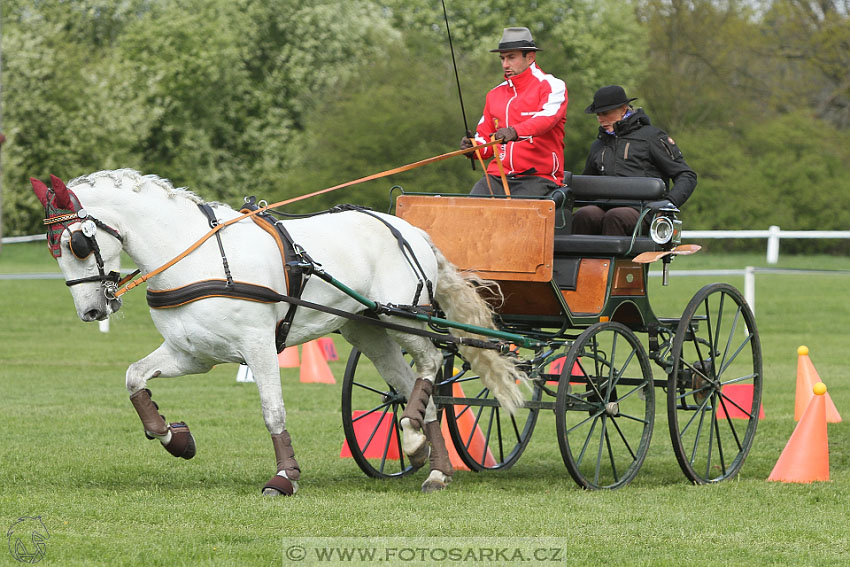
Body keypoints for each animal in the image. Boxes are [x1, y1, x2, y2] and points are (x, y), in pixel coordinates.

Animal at [31, 170, 524, 496]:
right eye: (52, 248)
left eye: (77, 243)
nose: (92, 310)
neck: (199, 257)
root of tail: (411, 229)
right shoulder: (192, 354)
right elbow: (134, 377)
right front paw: (176, 439)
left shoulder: (259, 348)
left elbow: (273, 412)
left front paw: (284, 476)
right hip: (367, 330)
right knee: (410, 388)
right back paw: (428, 458)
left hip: (404, 317)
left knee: (431, 362)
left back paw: (418, 443)